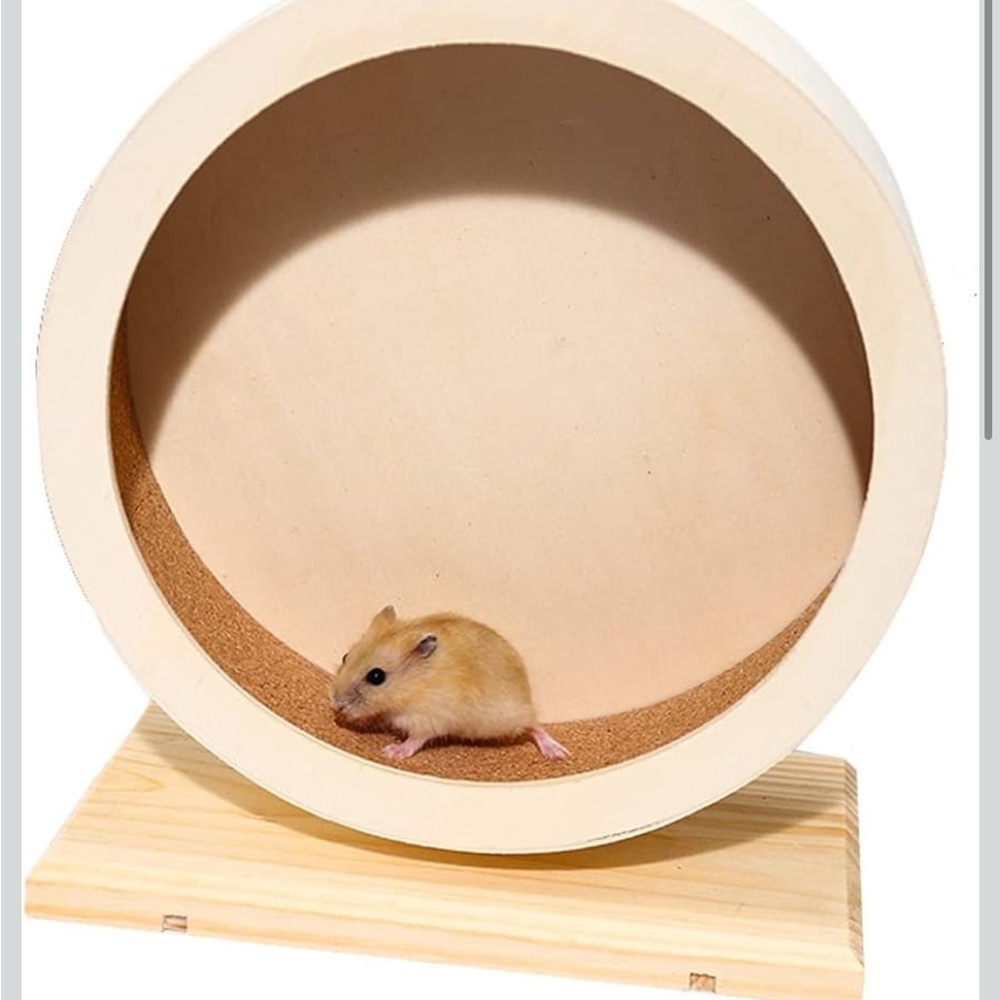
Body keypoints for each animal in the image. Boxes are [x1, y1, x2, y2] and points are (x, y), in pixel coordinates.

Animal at [328, 605, 570, 762]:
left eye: (376, 677)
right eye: (345, 656)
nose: (336, 704)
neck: (414, 686)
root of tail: (527, 693)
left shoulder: (428, 719)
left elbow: (416, 740)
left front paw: (391, 752)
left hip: (509, 717)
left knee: (535, 725)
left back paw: (558, 753)